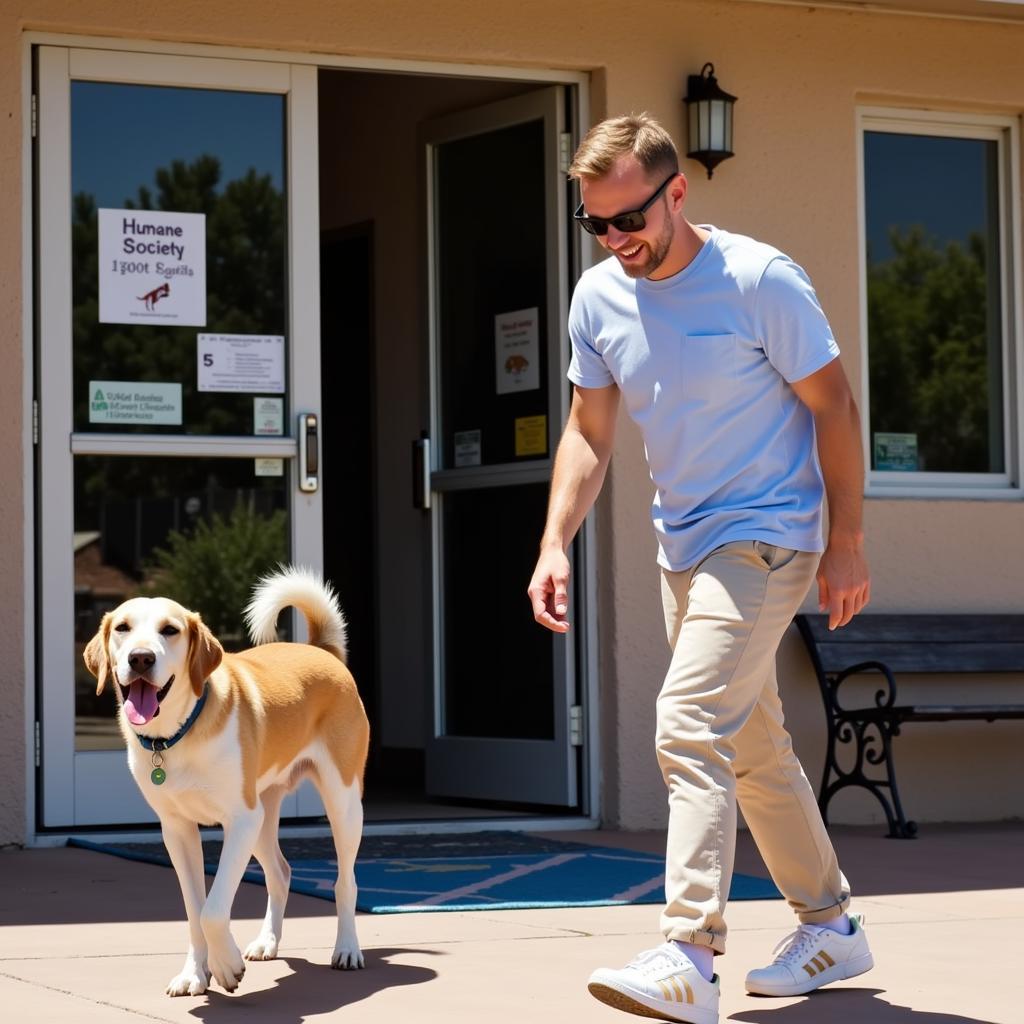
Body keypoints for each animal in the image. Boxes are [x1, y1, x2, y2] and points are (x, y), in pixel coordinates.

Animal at [81, 565, 368, 995]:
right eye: (123, 628)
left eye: (169, 630)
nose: (141, 658)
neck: (175, 735)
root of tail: (321, 650)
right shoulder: (178, 830)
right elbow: (194, 909)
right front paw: (195, 973)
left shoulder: (239, 820)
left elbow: (213, 910)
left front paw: (226, 966)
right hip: (263, 816)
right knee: (281, 872)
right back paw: (267, 942)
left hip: (342, 803)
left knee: (345, 881)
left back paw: (347, 949)